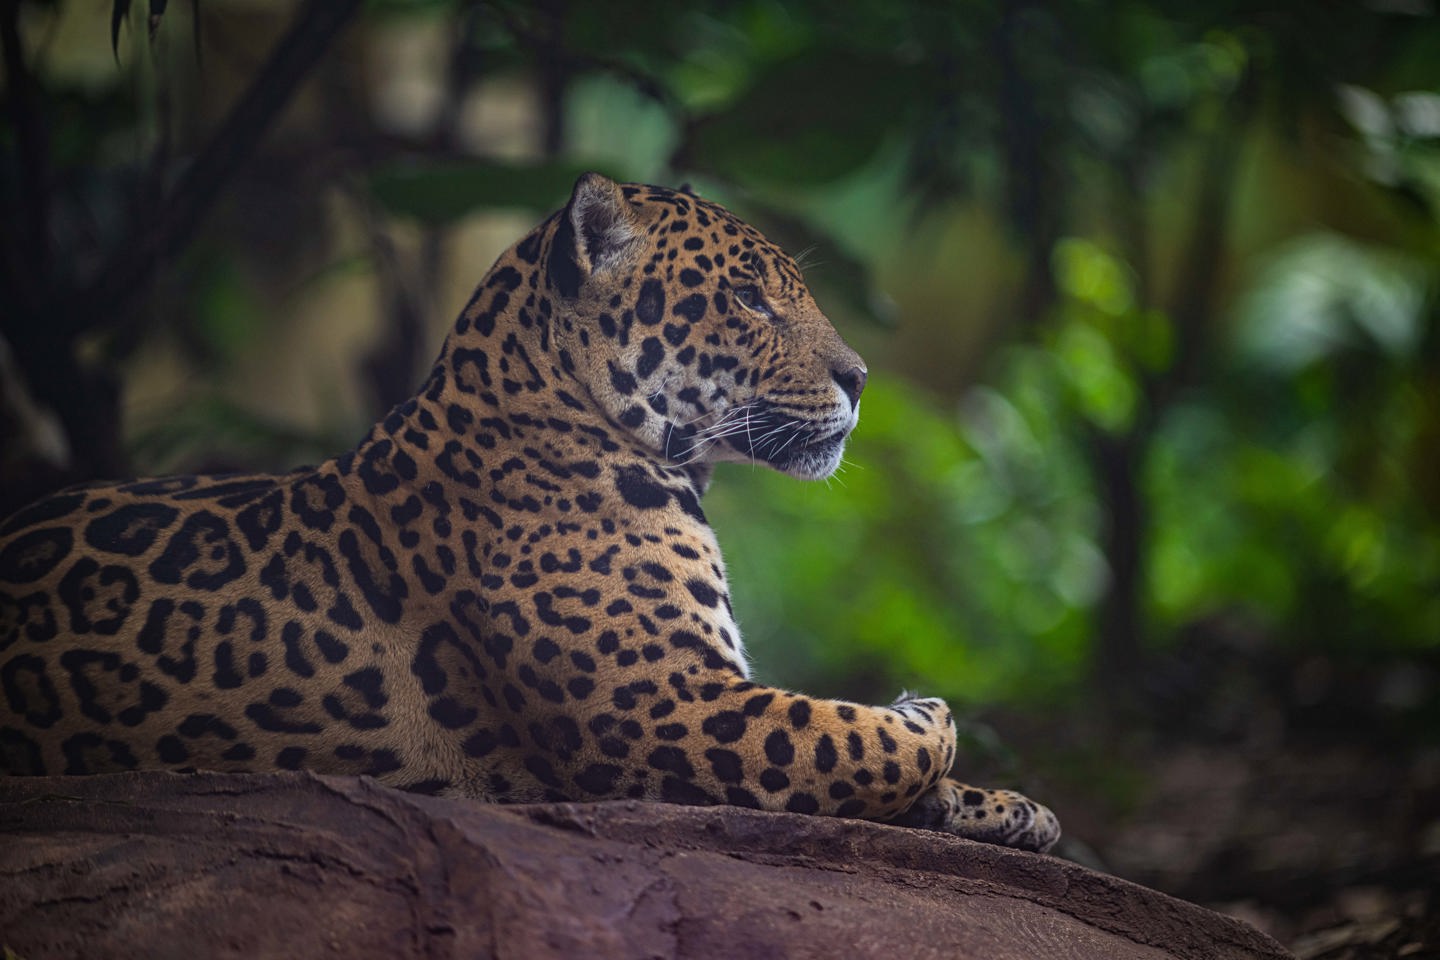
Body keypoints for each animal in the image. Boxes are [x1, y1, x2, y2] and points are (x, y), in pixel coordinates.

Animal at [0, 173, 1059, 852]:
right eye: (750, 301)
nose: (863, 377)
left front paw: (1014, 809)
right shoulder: (674, 710)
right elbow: (868, 739)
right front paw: (928, 713)